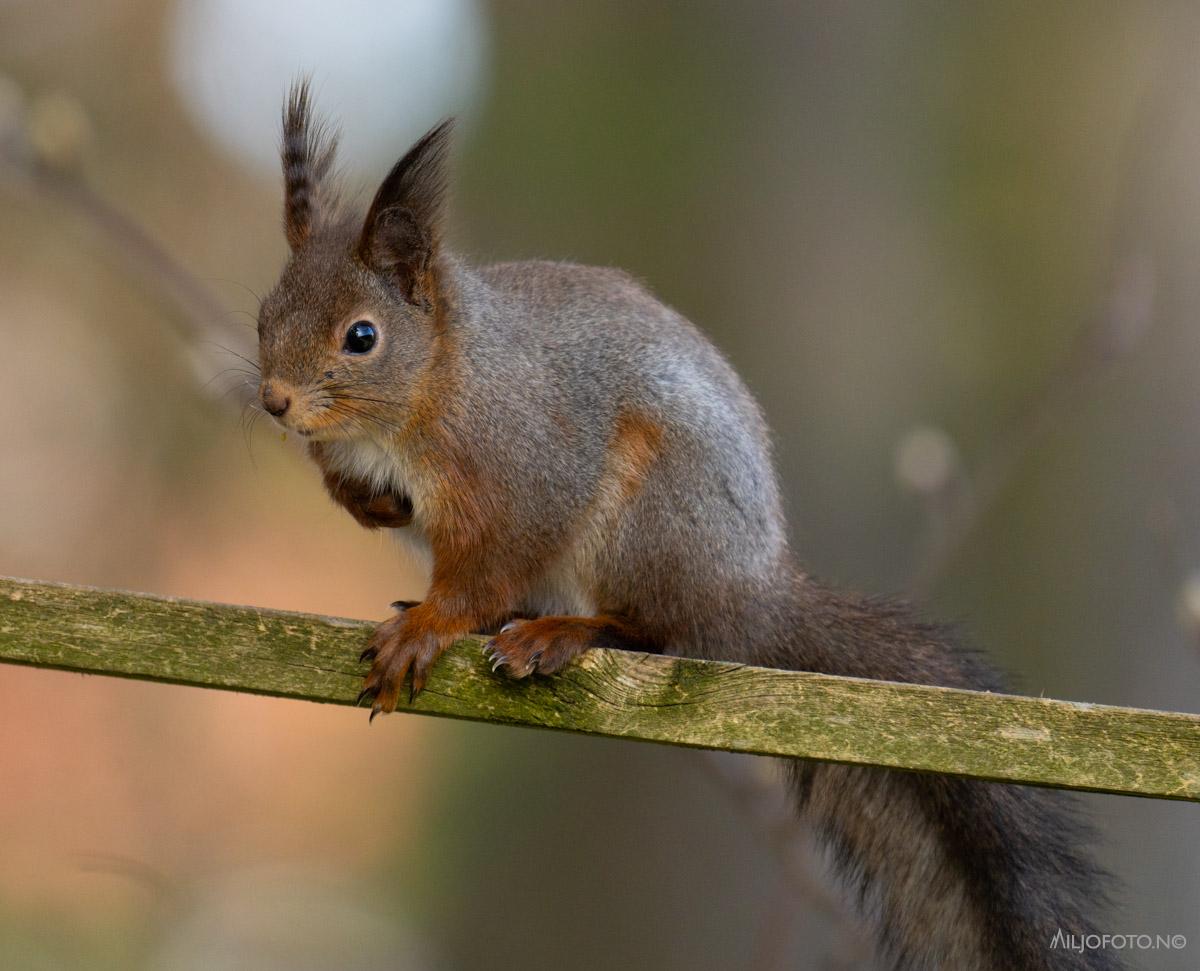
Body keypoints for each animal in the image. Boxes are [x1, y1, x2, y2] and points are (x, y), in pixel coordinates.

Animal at [255, 83, 1123, 969]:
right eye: (265, 316)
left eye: (362, 336)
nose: (275, 401)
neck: (436, 379)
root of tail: (752, 593)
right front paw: (374, 507)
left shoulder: (526, 468)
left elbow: (493, 560)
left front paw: (430, 623)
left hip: (652, 522)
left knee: (656, 630)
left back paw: (561, 632)